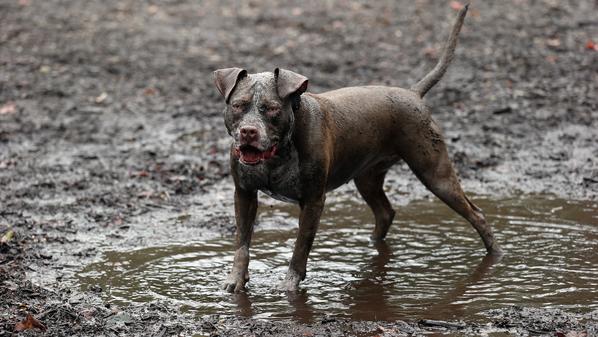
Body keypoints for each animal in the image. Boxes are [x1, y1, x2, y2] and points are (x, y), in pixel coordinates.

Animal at [213, 5, 504, 294]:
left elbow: (299, 249)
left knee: (476, 214)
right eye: (238, 105)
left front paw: (289, 287)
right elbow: (242, 243)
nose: (248, 131)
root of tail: (413, 93)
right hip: (367, 177)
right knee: (385, 212)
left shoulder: (313, 201)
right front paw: (235, 280)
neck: (276, 156)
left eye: (272, 109)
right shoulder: (244, 194)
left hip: (435, 173)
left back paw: (496, 256)